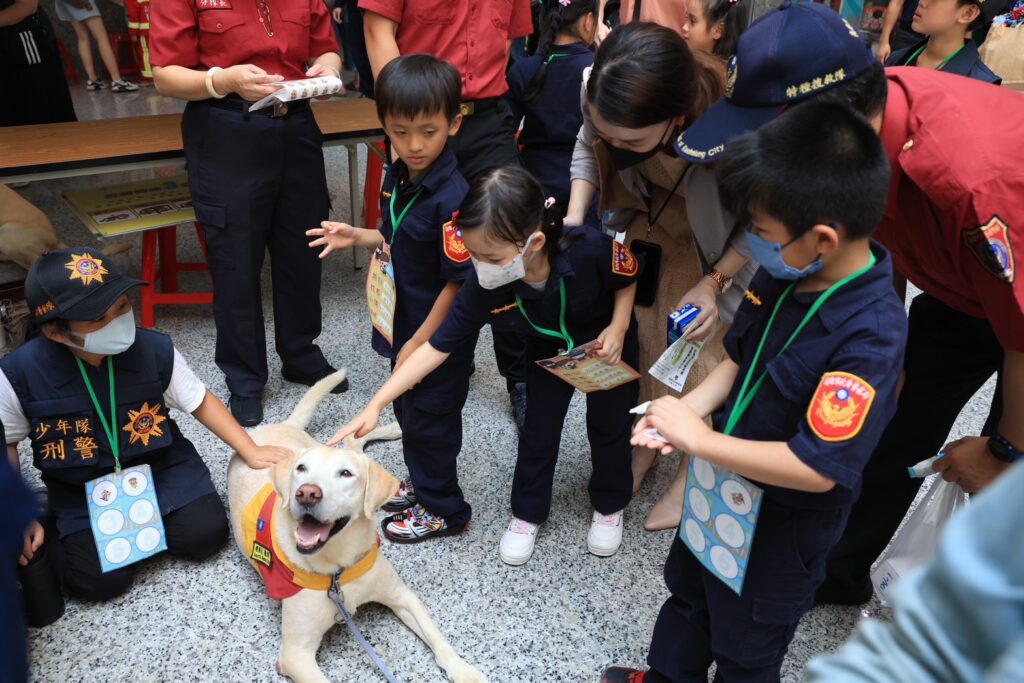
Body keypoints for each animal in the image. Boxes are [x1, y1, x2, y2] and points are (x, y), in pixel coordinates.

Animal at [228, 374, 483, 683]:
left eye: (346, 474)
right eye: (301, 469)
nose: (306, 494)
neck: (338, 570)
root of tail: (283, 424)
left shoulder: (403, 596)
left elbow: (440, 642)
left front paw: (465, 671)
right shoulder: (295, 654)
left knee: (355, 437)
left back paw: (392, 428)